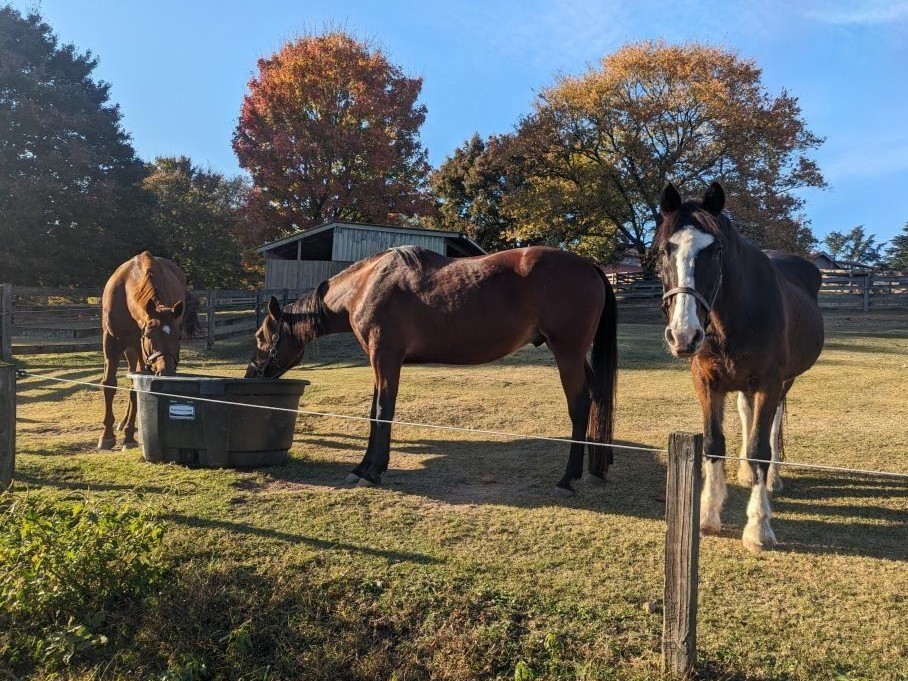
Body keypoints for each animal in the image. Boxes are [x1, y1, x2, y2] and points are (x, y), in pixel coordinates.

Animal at [98, 251, 199, 450]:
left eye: (179, 337)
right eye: (150, 335)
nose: (166, 371)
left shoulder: (145, 355)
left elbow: (135, 390)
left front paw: (129, 437)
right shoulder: (111, 343)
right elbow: (109, 384)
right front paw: (106, 436)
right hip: (131, 350)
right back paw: (122, 423)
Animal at [246, 245, 618, 493]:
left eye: (261, 336)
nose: (252, 375)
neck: (366, 286)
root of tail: (590, 267)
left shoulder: (386, 357)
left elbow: (382, 411)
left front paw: (373, 471)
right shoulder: (380, 362)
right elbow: (373, 413)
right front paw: (364, 466)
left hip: (567, 354)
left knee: (579, 406)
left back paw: (568, 478)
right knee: (596, 398)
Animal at [655, 182, 824, 553]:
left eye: (716, 250)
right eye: (664, 250)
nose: (684, 335)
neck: (732, 316)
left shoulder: (770, 382)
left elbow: (761, 447)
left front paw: (758, 529)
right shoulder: (707, 381)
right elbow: (713, 444)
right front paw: (708, 515)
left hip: (784, 382)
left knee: (771, 427)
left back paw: (771, 478)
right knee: (747, 413)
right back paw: (746, 473)